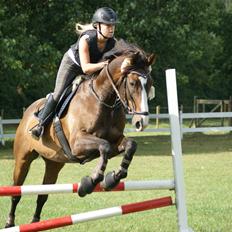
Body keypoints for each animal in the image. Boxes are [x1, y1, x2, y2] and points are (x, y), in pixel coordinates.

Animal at [4, 39, 156, 227]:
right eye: (133, 83)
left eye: (149, 84)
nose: (142, 122)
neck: (103, 100)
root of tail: (28, 112)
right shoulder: (77, 144)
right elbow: (104, 146)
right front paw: (90, 182)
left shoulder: (115, 141)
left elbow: (129, 145)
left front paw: (112, 178)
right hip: (23, 158)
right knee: (16, 192)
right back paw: (10, 223)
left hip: (54, 163)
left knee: (42, 195)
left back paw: (35, 222)